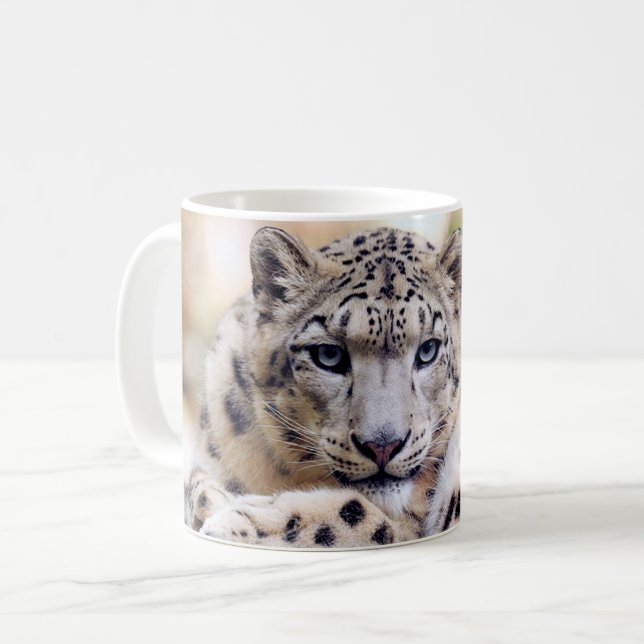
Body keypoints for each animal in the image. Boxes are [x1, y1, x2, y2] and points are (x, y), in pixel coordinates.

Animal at [185, 224, 462, 548]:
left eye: (428, 350)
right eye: (329, 355)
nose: (383, 446)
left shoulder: (410, 522)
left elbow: (353, 517)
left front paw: (236, 517)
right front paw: (213, 501)